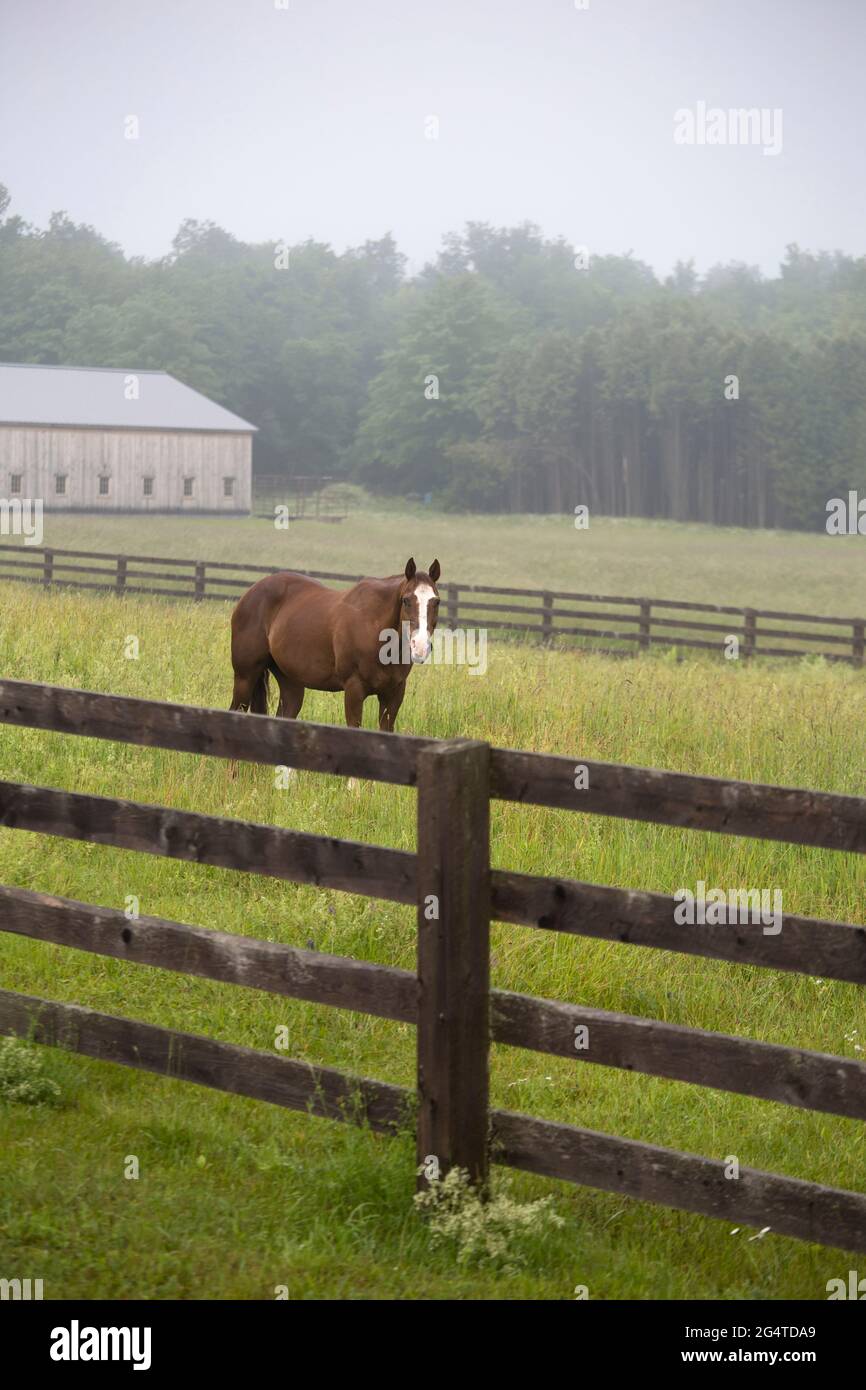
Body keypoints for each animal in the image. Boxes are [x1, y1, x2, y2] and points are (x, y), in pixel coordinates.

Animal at [229, 556, 439, 733]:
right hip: (245, 677)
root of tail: (250, 593)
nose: (420, 646)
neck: (374, 628)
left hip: (291, 683)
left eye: (436, 601)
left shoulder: (393, 694)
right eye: (406, 600)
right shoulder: (354, 690)